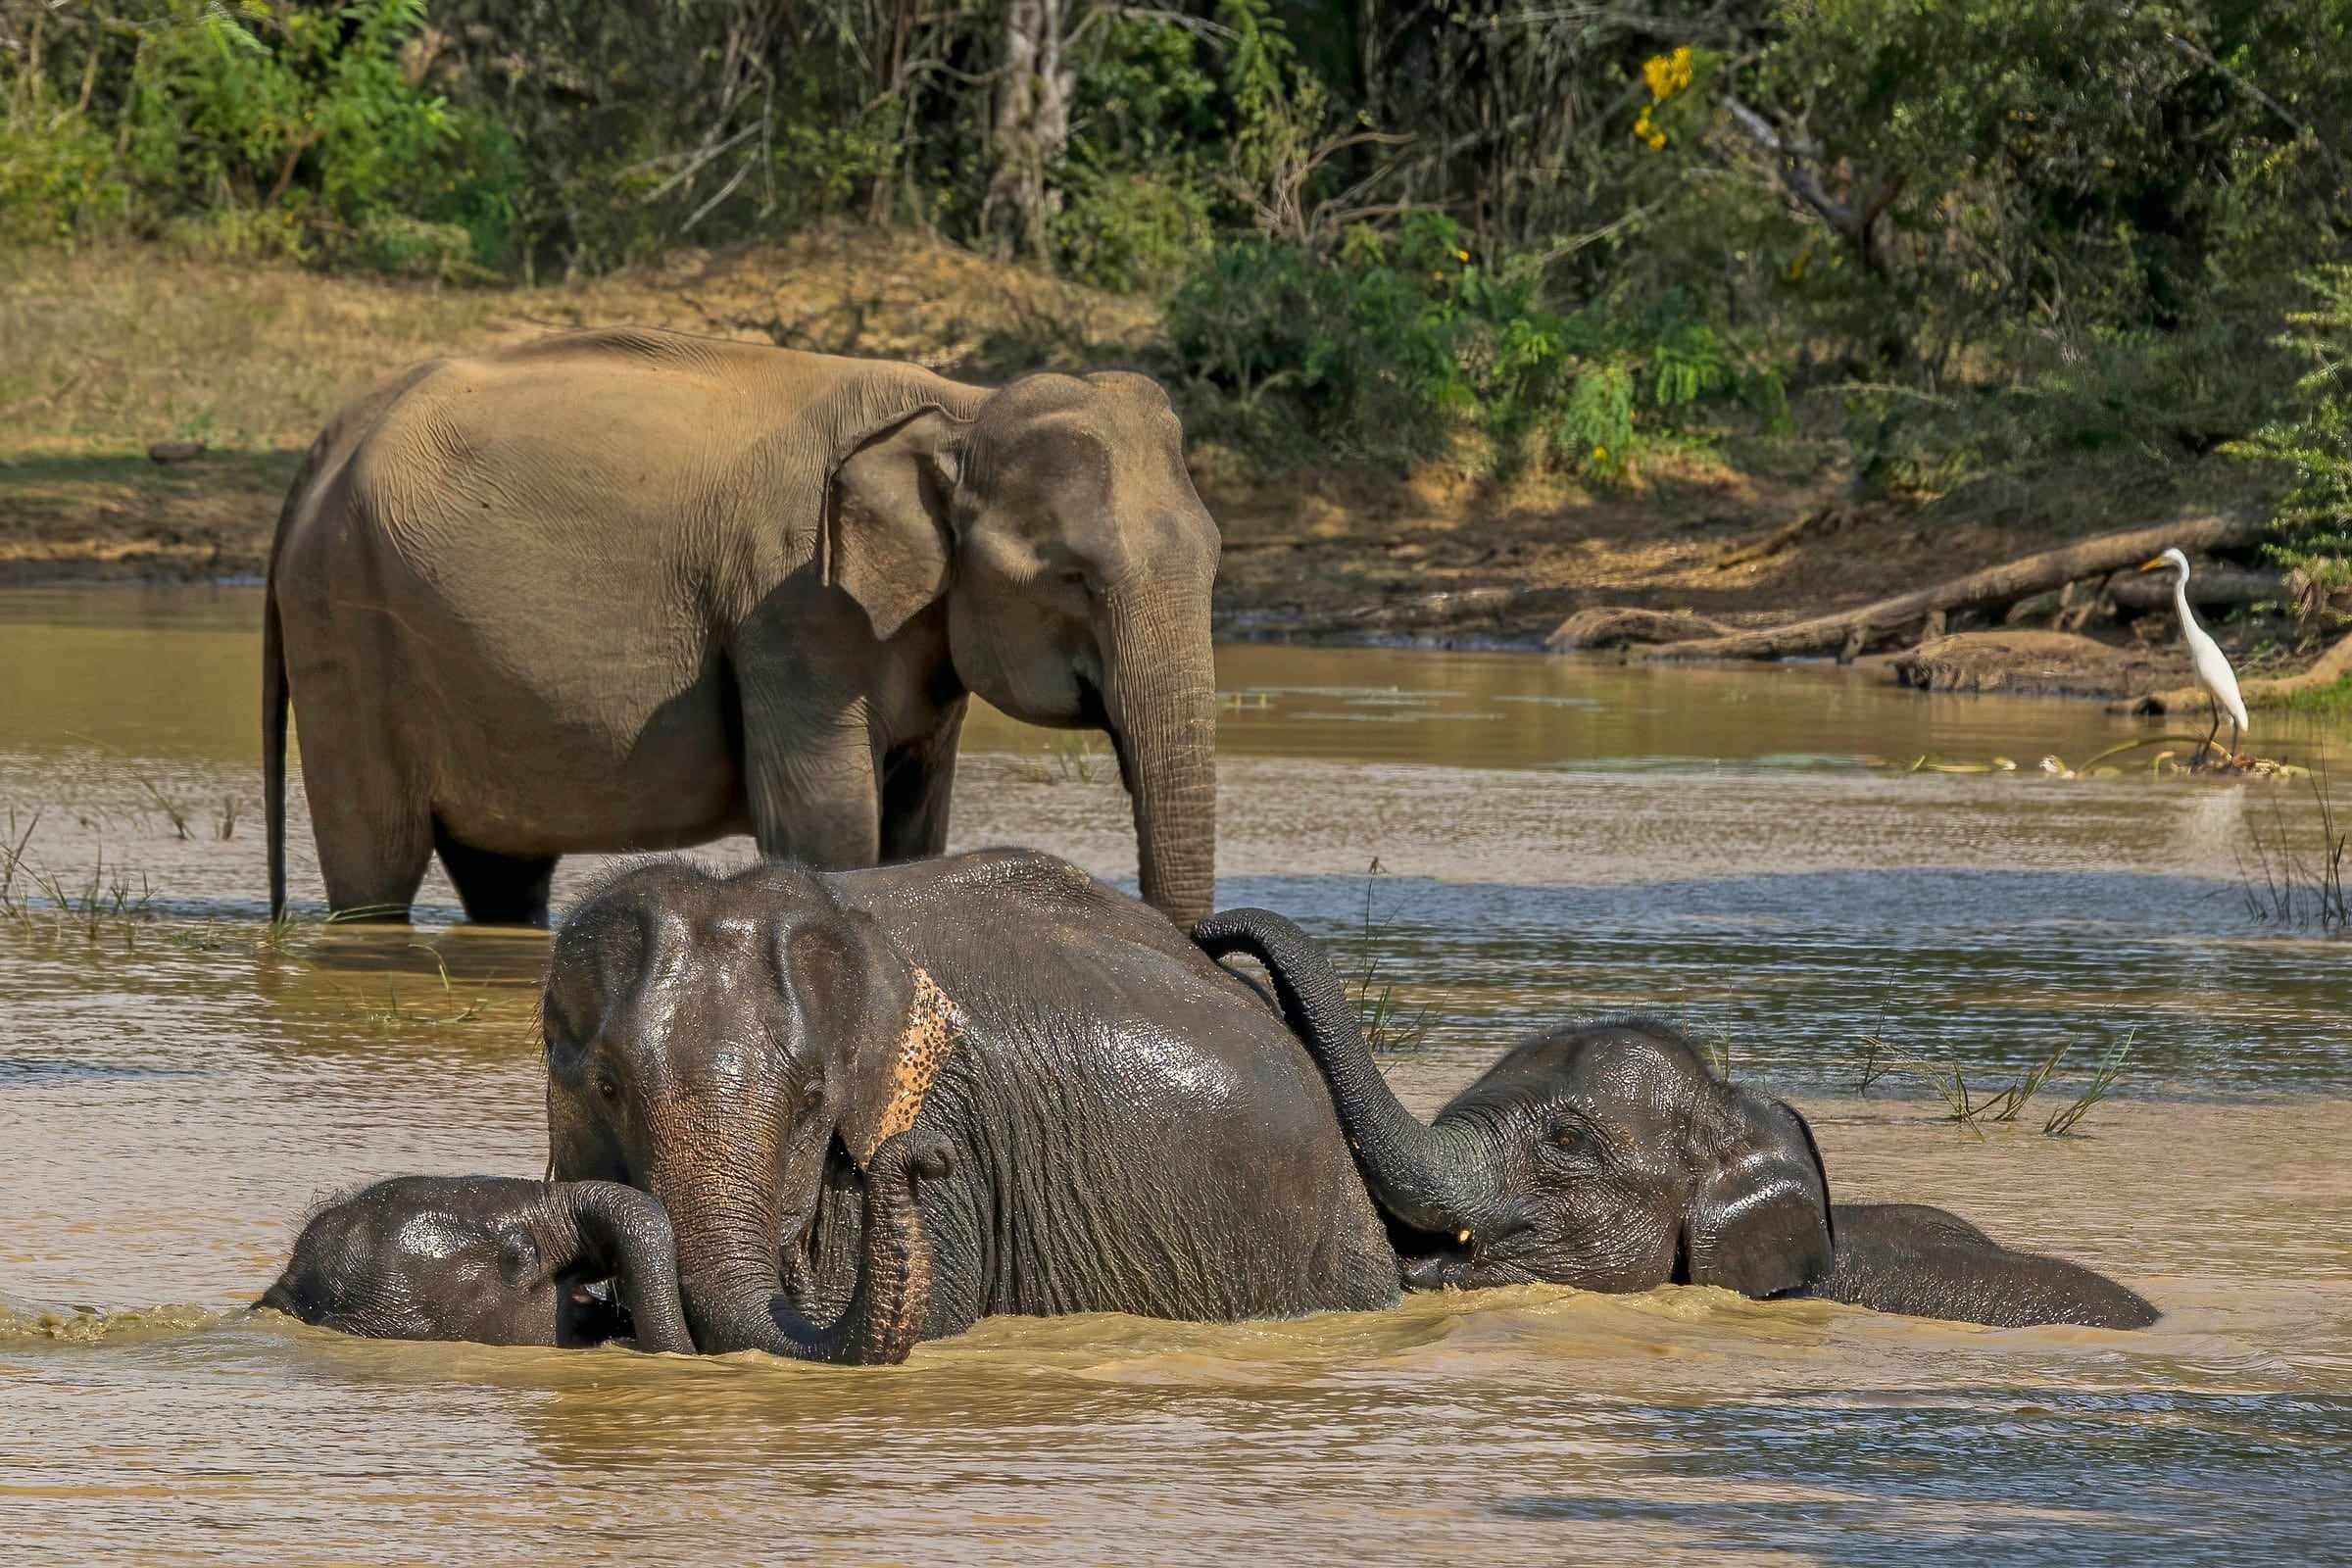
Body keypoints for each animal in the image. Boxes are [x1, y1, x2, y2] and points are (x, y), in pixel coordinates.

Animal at [262, 328, 1221, 929]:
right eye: (1072, 578)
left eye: (1216, 563)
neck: (959, 404)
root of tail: (323, 447)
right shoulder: (792, 606)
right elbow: (828, 827)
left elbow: (916, 829)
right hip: (347, 623)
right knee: (376, 862)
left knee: (502, 869)